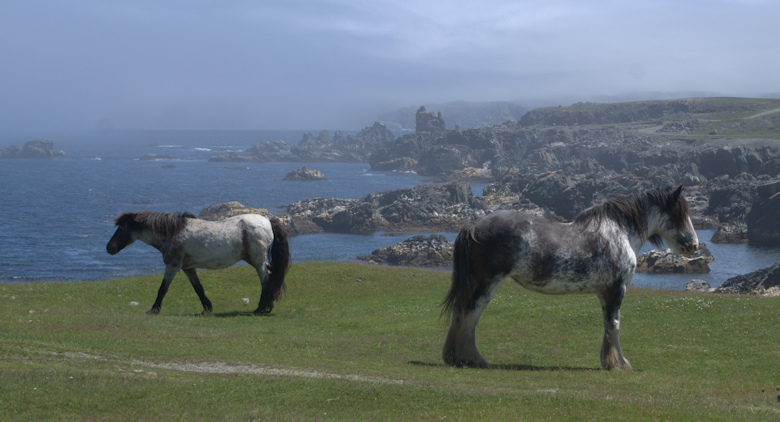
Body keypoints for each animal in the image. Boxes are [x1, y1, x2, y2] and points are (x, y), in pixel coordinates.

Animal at [106, 213, 290, 314]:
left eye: (123, 227)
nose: (109, 248)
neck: (173, 233)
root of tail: (268, 221)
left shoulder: (172, 266)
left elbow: (163, 288)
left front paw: (154, 309)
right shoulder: (189, 268)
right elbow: (198, 289)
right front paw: (207, 308)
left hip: (258, 261)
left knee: (266, 280)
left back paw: (261, 308)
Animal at [442, 186, 696, 370]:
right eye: (679, 214)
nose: (694, 245)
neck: (619, 233)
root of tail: (474, 225)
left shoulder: (605, 294)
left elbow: (607, 325)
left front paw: (608, 361)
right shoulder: (616, 290)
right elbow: (614, 325)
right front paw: (619, 364)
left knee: (458, 312)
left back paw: (453, 356)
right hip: (487, 283)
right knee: (470, 315)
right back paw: (473, 359)